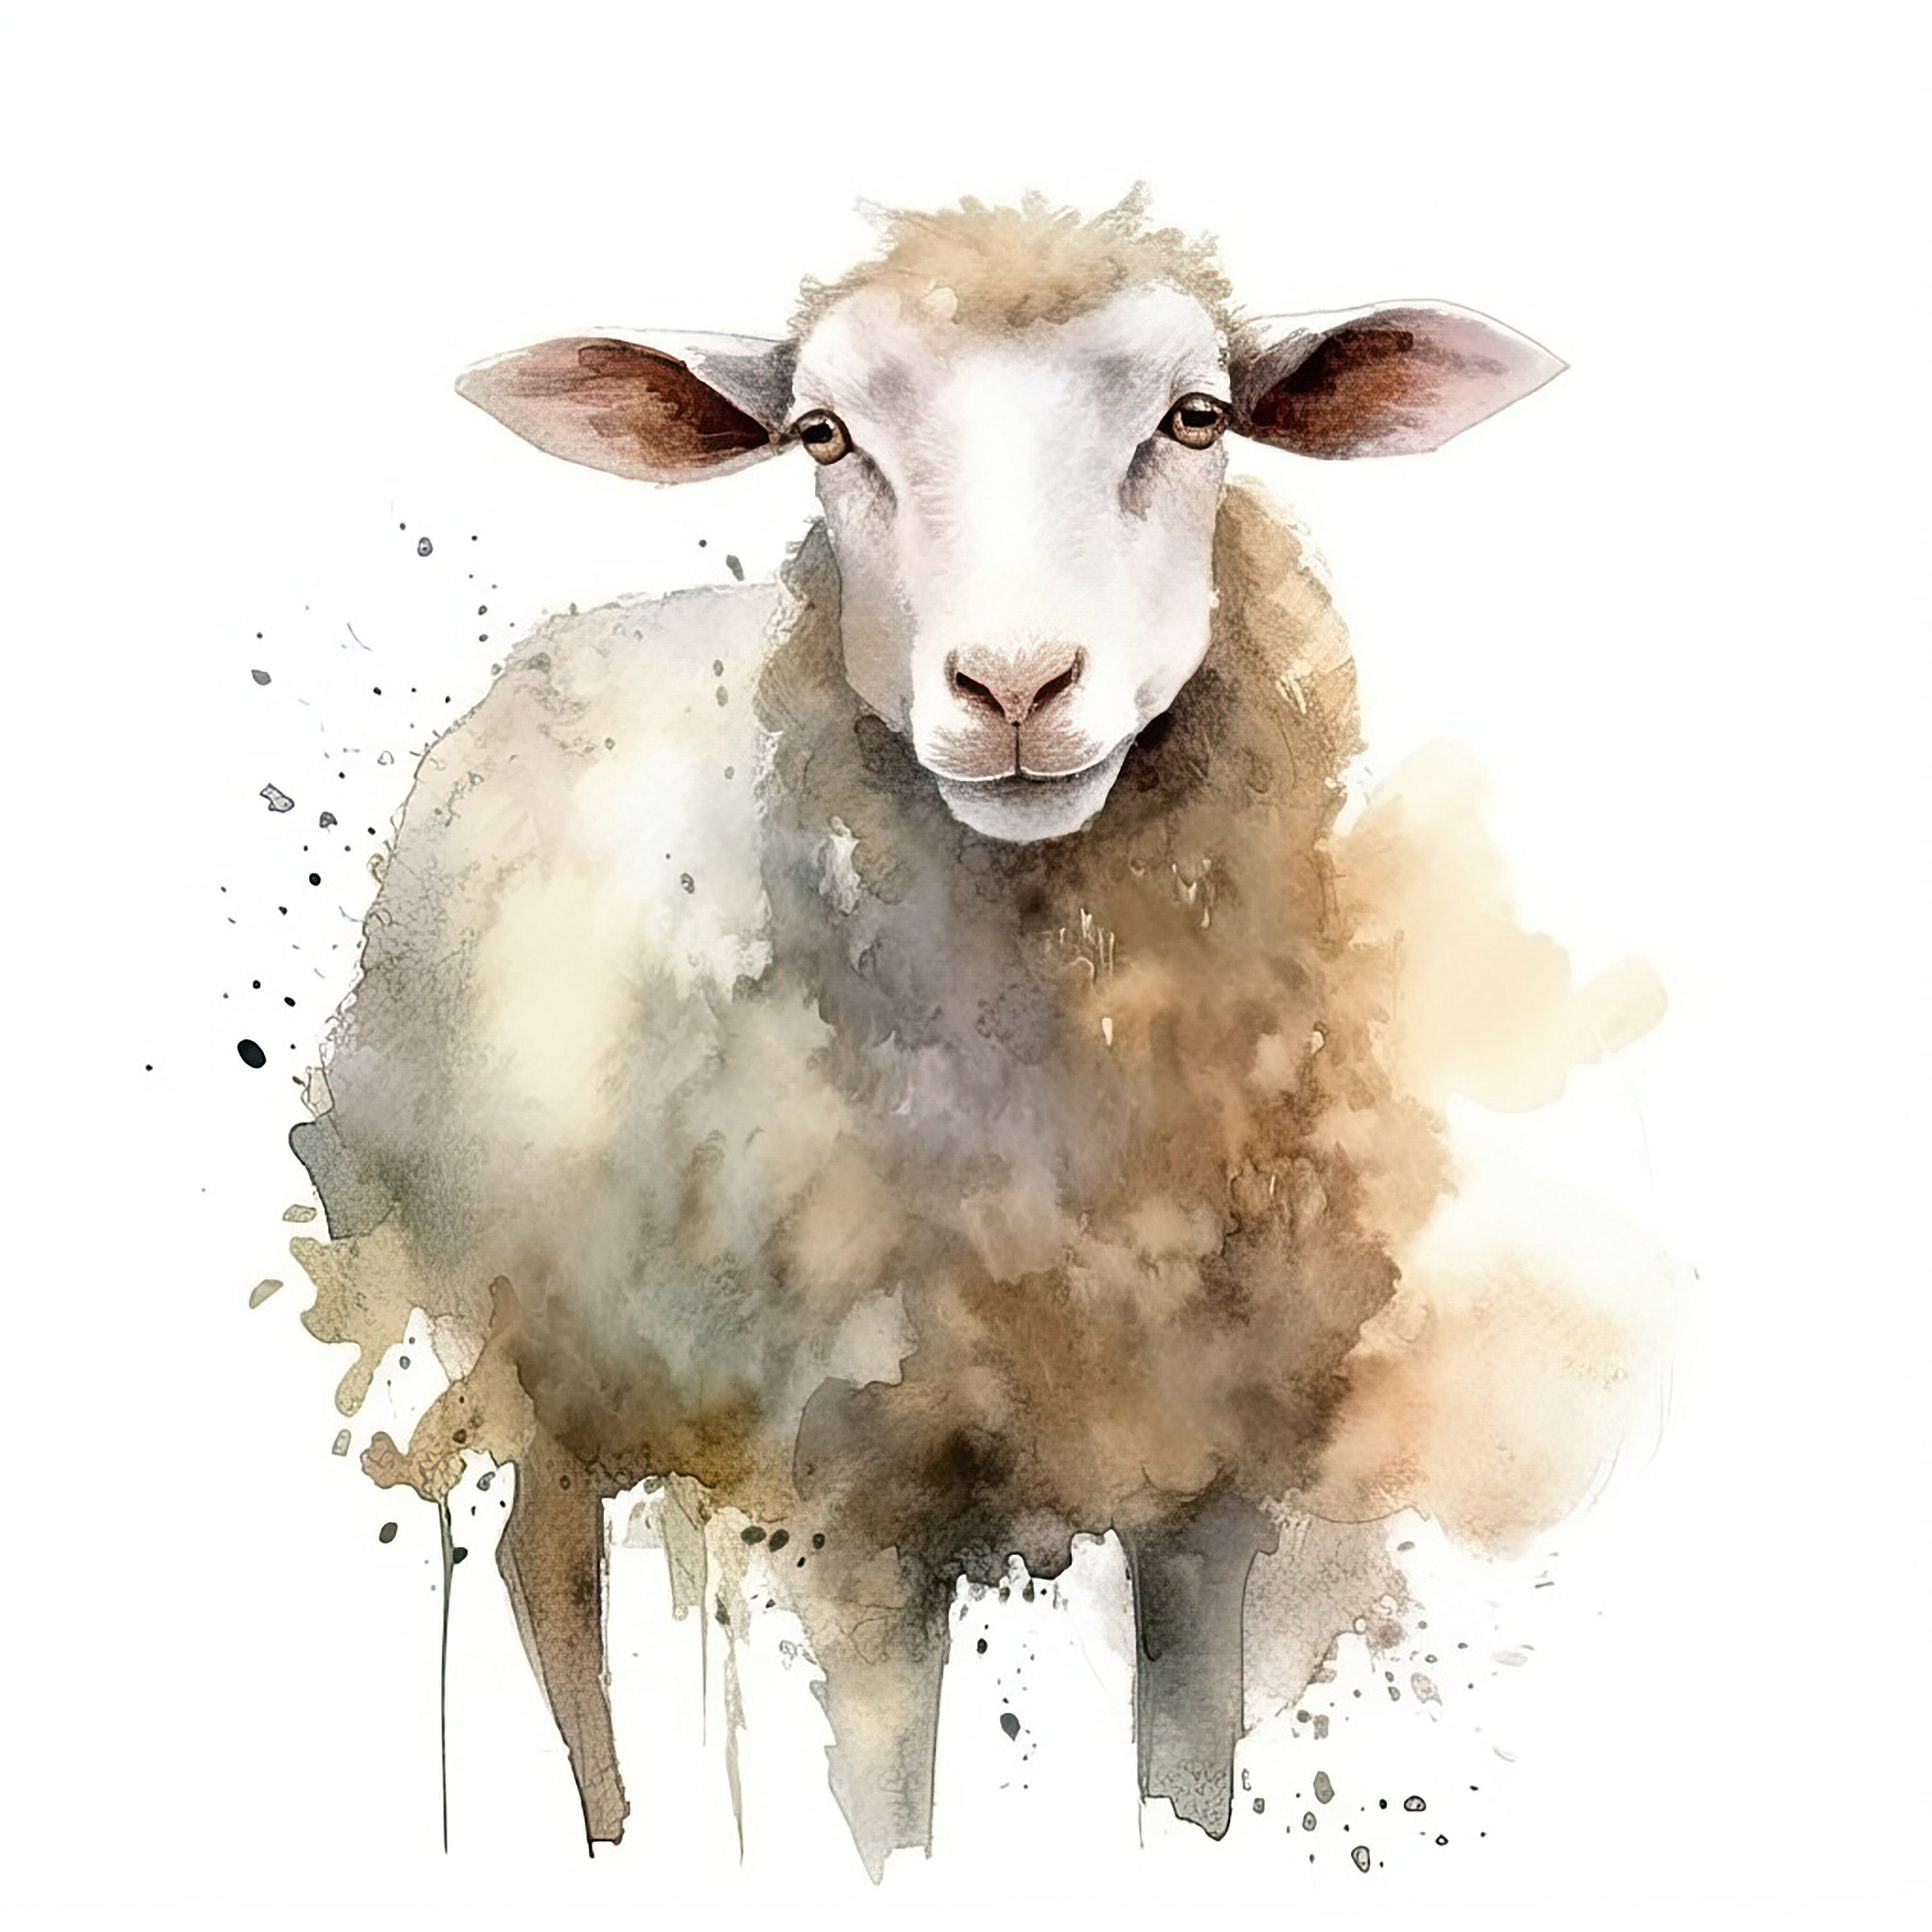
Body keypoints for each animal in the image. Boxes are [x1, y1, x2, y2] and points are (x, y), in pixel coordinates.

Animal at [290, 192, 1672, 1879]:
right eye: (823, 434)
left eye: (1197, 417)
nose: (1013, 686)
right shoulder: (859, 1513)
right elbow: (888, 1821)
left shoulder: (1210, 1492)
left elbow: (1189, 1781)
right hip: (531, 1311)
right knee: (542, 1566)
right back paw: (609, 1838)